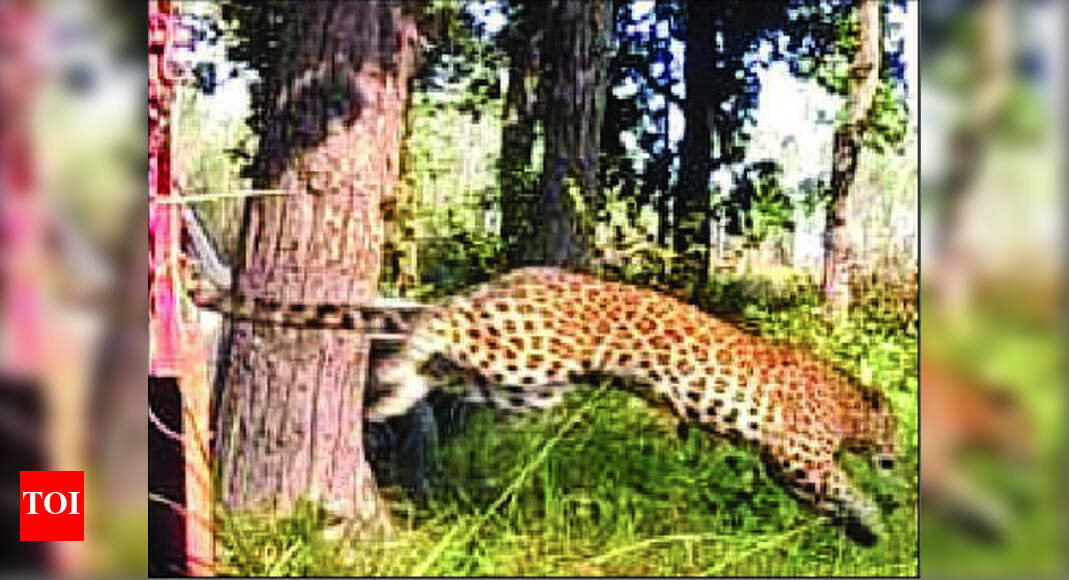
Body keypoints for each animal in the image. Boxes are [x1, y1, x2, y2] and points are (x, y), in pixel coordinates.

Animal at [366, 266, 902, 546]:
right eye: (895, 429)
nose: (899, 454)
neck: (847, 407)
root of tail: (528, 272)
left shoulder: (784, 465)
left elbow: (829, 497)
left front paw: (863, 533)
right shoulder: (799, 454)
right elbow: (848, 485)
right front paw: (878, 519)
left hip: (526, 380)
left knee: (447, 363)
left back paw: (391, 391)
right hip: (527, 347)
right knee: (444, 318)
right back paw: (397, 352)